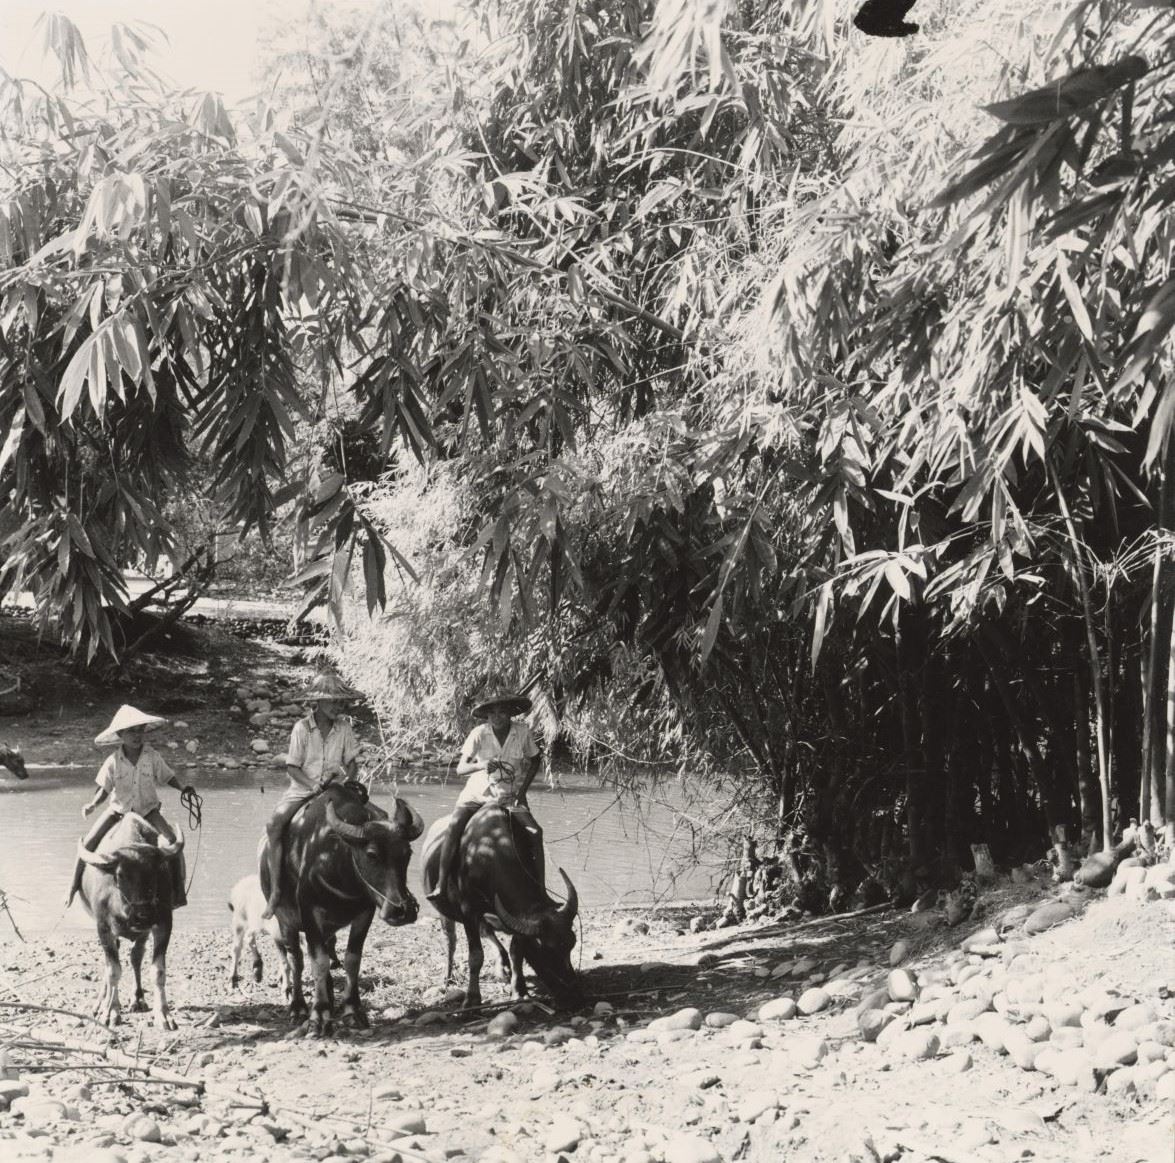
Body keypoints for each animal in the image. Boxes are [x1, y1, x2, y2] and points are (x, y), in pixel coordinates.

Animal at [76, 808, 185, 1029]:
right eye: (120, 875)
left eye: (156, 872)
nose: (143, 915)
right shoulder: (103, 928)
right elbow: (113, 971)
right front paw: (111, 1011)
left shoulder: (163, 924)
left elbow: (158, 971)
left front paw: (164, 1014)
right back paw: (101, 1002)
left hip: (144, 933)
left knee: (136, 957)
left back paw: (138, 999)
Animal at [260, 784, 422, 1038]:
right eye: (372, 854)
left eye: (407, 853)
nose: (402, 910)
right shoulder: (310, 915)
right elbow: (317, 962)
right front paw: (319, 1016)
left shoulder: (365, 913)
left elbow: (351, 959)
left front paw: (352, 1010)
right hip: (284, 921)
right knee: (297, 960)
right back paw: (298, 1008)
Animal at [425, 798, 585, 1010]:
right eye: (545, 950)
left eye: (571, 944)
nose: (574, 993)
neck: (488, 849)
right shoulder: (469, 910)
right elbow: (476, 955)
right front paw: (472, 999)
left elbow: (516, 951)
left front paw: (520, 990)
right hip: (444, 911)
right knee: (450, 940)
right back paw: (448, 977)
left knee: (487, 931)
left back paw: (503, 967)